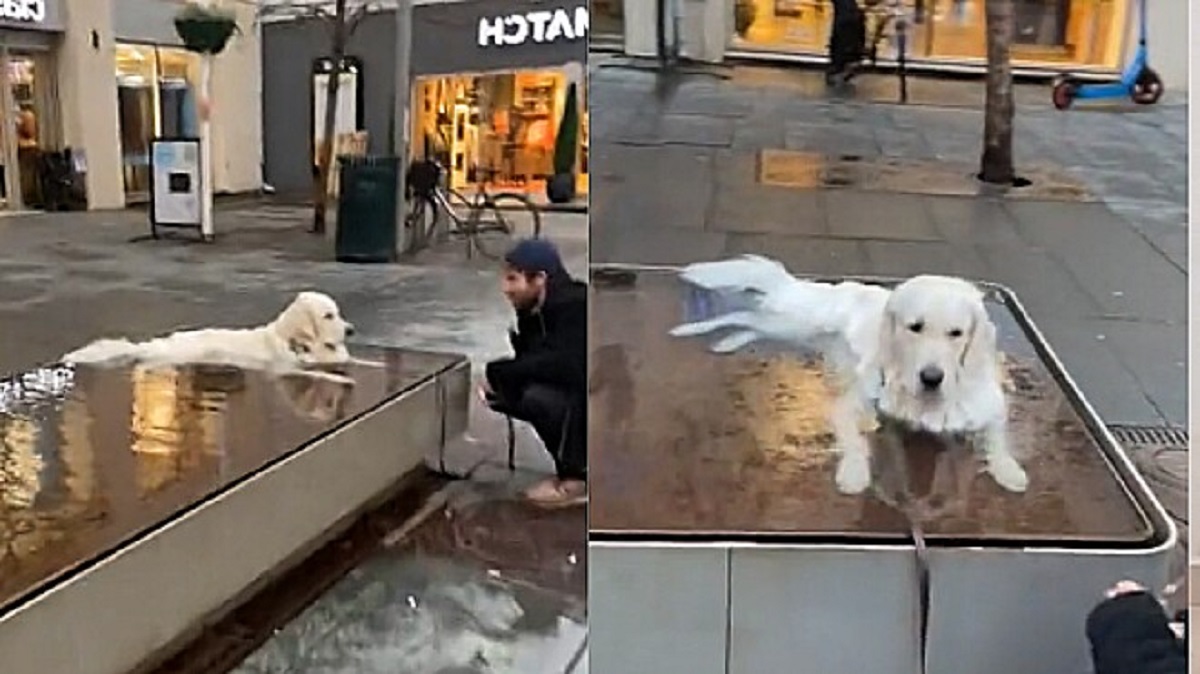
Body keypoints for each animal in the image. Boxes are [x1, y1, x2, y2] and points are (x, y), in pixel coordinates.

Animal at [672, 251, 1027, 494]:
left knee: (751, 324)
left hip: (794, 332)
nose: (931, 377)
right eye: (915, 327)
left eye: (956, 333)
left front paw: (1009, 471)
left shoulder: (991, 408)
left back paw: (726, 343)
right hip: (793, 324)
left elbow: (998, 439)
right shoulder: (851, 404)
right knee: (745, 314)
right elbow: (855, 440)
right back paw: (691, 328)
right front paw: (854, 474)